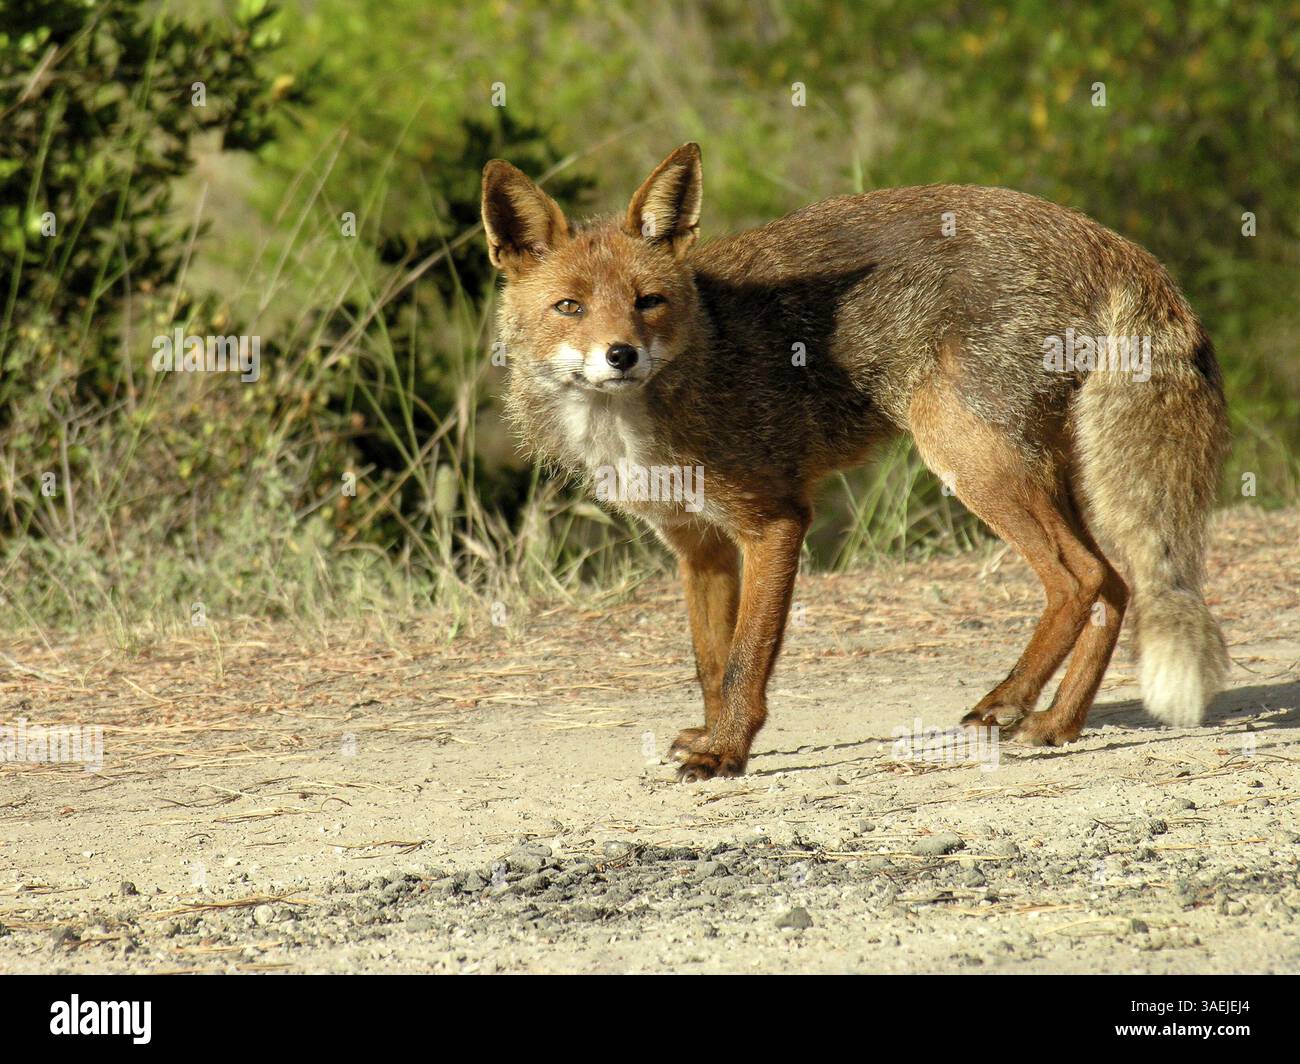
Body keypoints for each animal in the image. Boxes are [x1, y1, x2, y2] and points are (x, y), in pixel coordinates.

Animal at [481, 143, 1230, 782]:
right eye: (570, 307)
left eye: (648, 302)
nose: (621, 356)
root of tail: (1105, 240)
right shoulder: (698, 546)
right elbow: (710, 662)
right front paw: (712, 736)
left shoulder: (776, 522)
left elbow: (745, 661)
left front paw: (727, 752)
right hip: (1041, 470)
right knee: (1115, 586)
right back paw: (1056, 724)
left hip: (969, 457)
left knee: (1081, 580)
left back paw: (1008, 701)